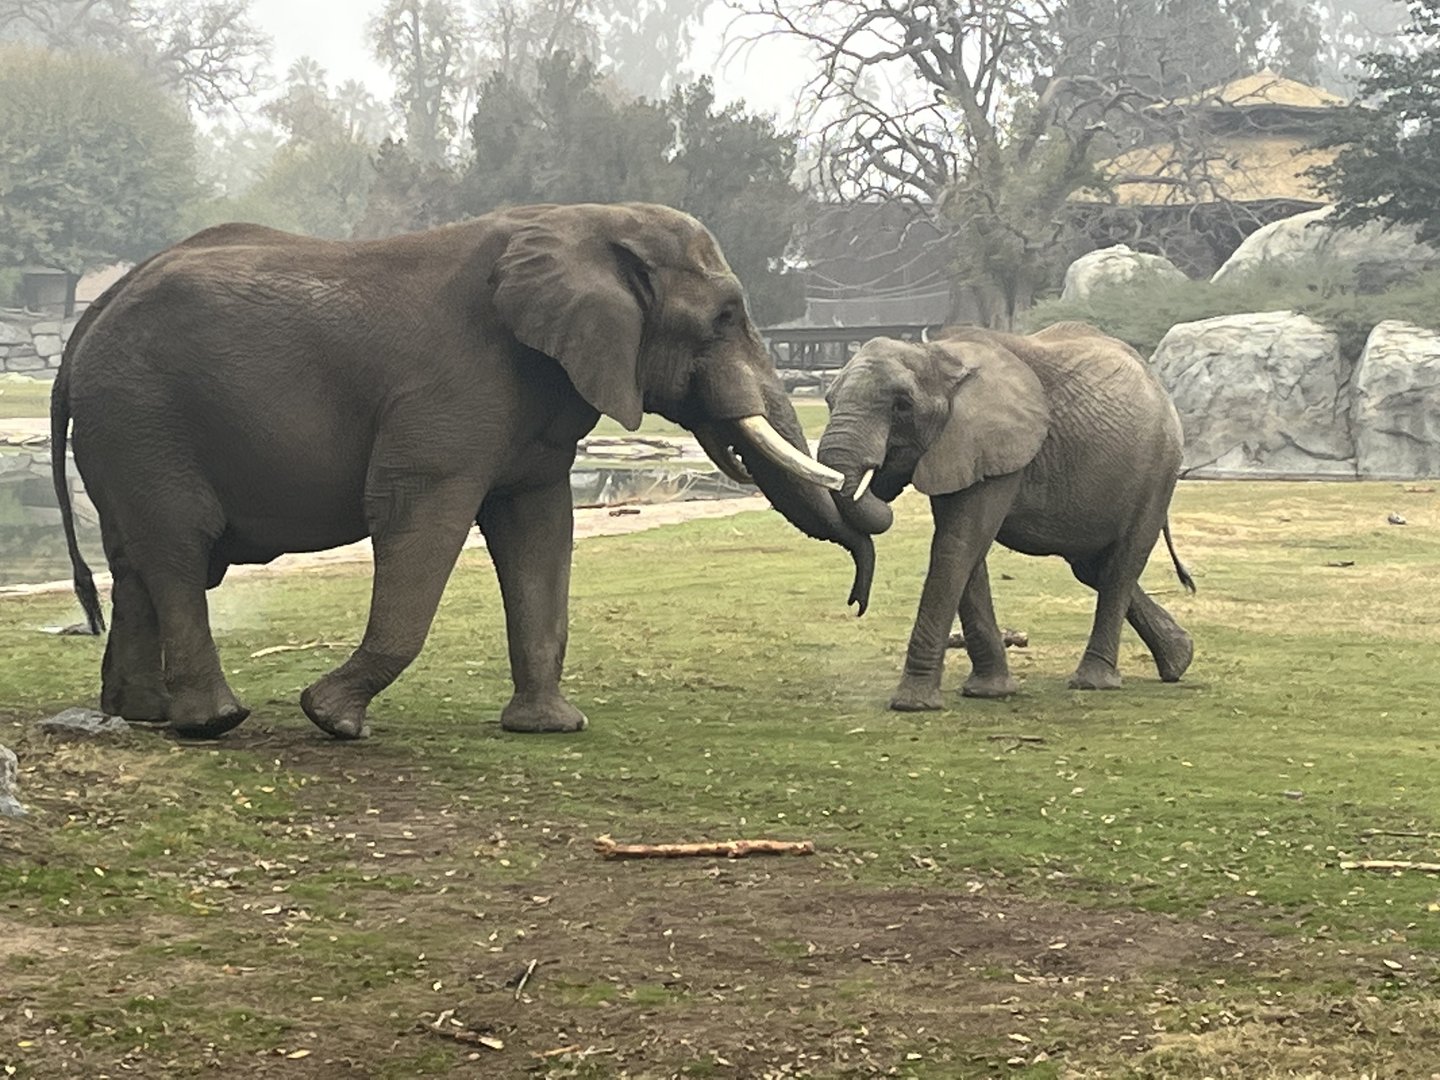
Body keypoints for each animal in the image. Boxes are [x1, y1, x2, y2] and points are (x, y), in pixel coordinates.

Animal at [51, 202, 887, 740]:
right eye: (724, 318)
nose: (855, 603)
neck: (583, 220)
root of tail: (87, 322)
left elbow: (539, 530)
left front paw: (551, 728)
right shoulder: (453, 389)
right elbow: (419, 515)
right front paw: (332, 719)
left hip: (125, 426)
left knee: (135, 559)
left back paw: (141, 715)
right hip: (143, 414)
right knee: (179, 548)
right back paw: (212, 723)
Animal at [816, 321, 1196, 711]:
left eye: (902, 405)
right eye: (828, 401)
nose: (856, 604)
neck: (938, 355)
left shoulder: (992, 443)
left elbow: (957, 545)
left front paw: (913, 704)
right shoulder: (959, 449)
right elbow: (967, 552)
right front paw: (989, 692)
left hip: (1158, 467)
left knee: (1122, 564)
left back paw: (1094, 682)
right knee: (1092, 568)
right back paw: (1179, 659)